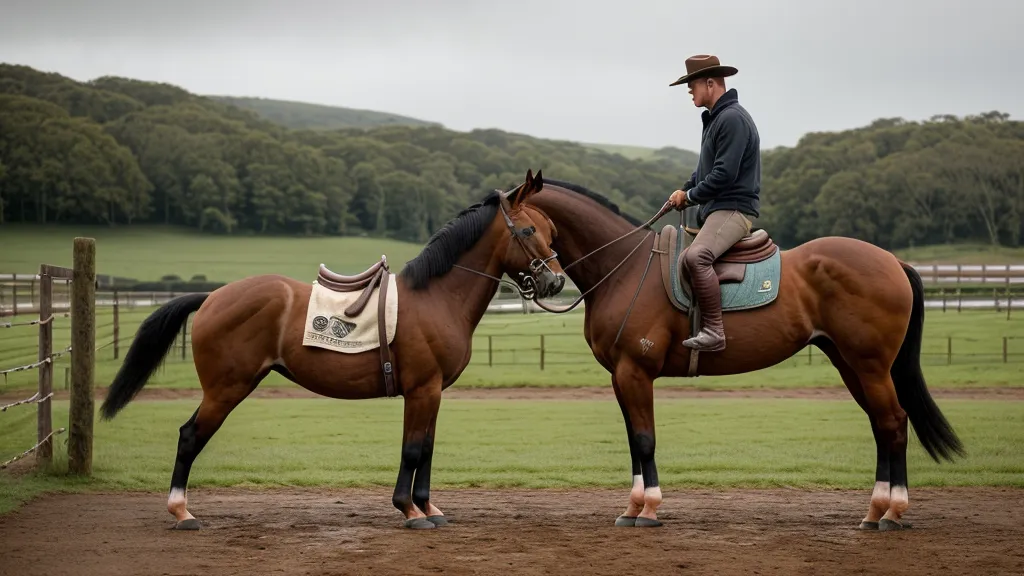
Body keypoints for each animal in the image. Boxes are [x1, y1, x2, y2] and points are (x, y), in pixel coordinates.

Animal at [99, 169, 566, 530]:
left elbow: (428, 449)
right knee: (190, 436)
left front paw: (429, 507)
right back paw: (181, 512)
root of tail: (213, 296)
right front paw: (410, 510)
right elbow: (413, 449)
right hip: (225, 389)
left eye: (552, 232)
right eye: (528, 231)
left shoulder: (433, 393)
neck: (435, 296)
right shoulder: (422, 390)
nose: (556, 282)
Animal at [513, 175, 965, 531]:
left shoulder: (634, 372)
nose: (548, 283)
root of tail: (893, 261)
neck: (625, 268)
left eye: (523, 230)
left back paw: (893, 512)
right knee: (880, 425)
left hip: (870, 367)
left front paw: (649, 509)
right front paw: (633, 507)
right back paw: (875, 511)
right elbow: (633, 441)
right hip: (851, 365)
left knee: (893, 423)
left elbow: (643, 439)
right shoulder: (621, 376)